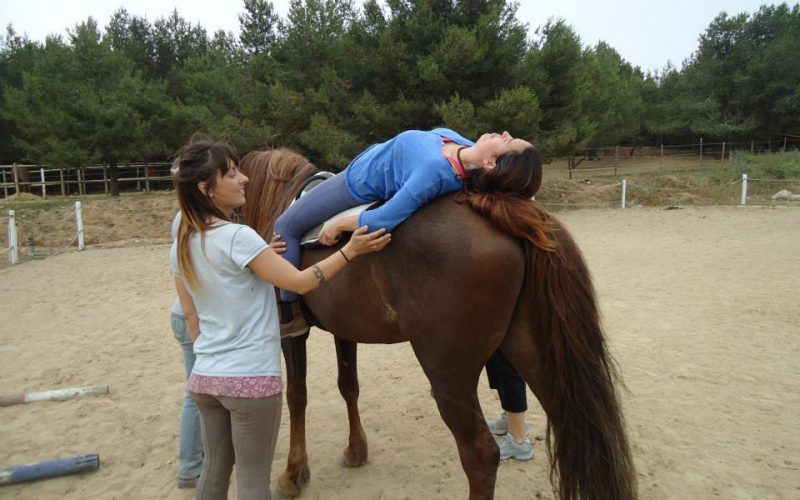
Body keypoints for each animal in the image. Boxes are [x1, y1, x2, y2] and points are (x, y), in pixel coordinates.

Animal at [239, 148, 637, 500]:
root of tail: (504, 209)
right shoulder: (344, 330)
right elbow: (348, 386)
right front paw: (355, 450)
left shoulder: (293, 335)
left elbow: (297, 395)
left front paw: (294, 475)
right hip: (535, 352)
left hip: (448, 375)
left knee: (480, 455)